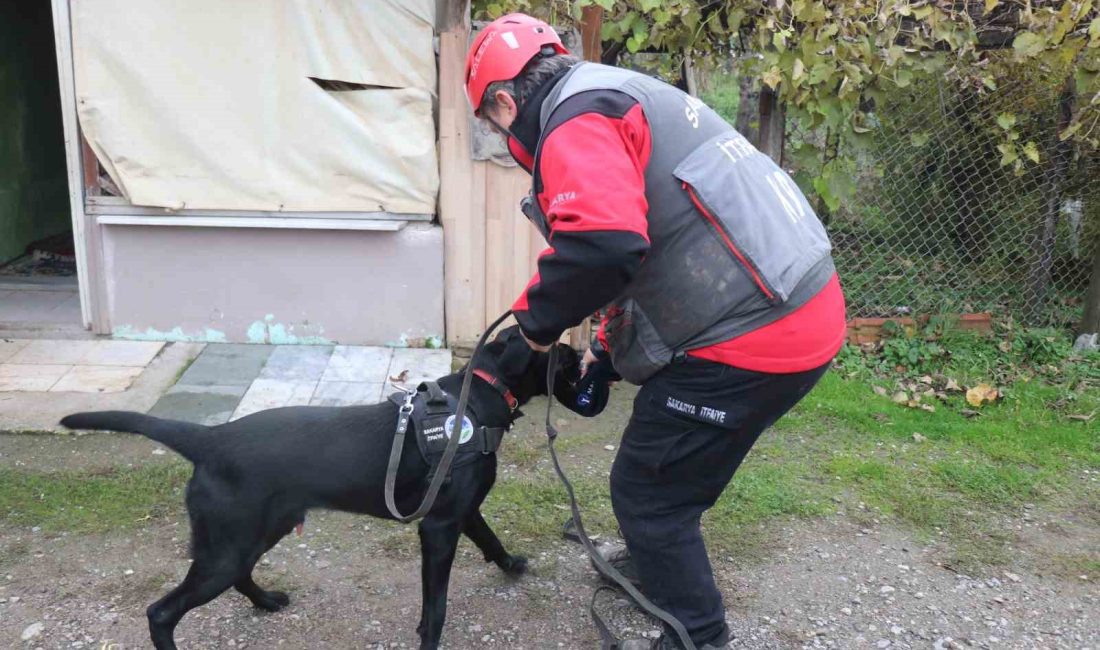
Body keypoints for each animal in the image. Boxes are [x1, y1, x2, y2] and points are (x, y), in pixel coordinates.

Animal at [59, 329, 580, 650]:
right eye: (566, 357)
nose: (588, 362)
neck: (478, 396)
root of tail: (211, 439)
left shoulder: (462, 512)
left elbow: (492, 542)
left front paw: (512, 566)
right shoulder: (439, 526)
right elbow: (436, 605)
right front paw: (429, 638)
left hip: (254, 533)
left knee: (239, 576)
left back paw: (267, 602)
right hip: (228, 545)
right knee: (161, 612)